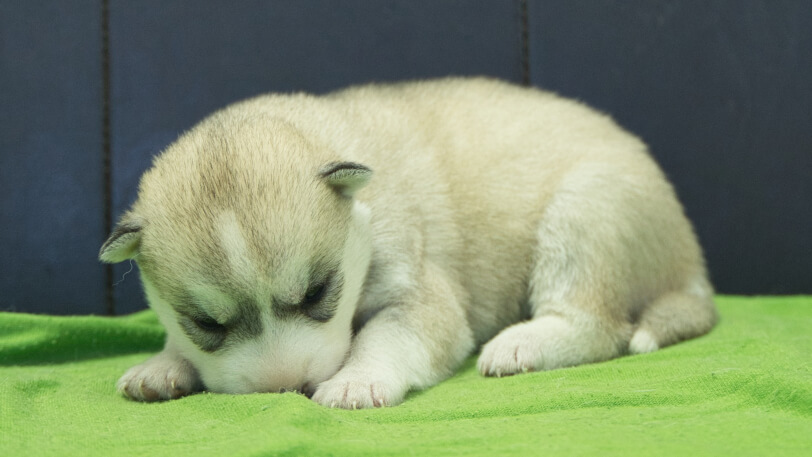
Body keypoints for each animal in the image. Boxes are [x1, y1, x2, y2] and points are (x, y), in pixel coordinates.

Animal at [100, 76, 716, 408]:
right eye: (206, 323)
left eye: (318, 292)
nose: (286, 387)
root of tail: (693, 266)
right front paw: (163, 365)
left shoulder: (417, 289)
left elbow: (386, 336)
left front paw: (355, 381)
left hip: (583, 214)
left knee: (599, 326)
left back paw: (521, 345)